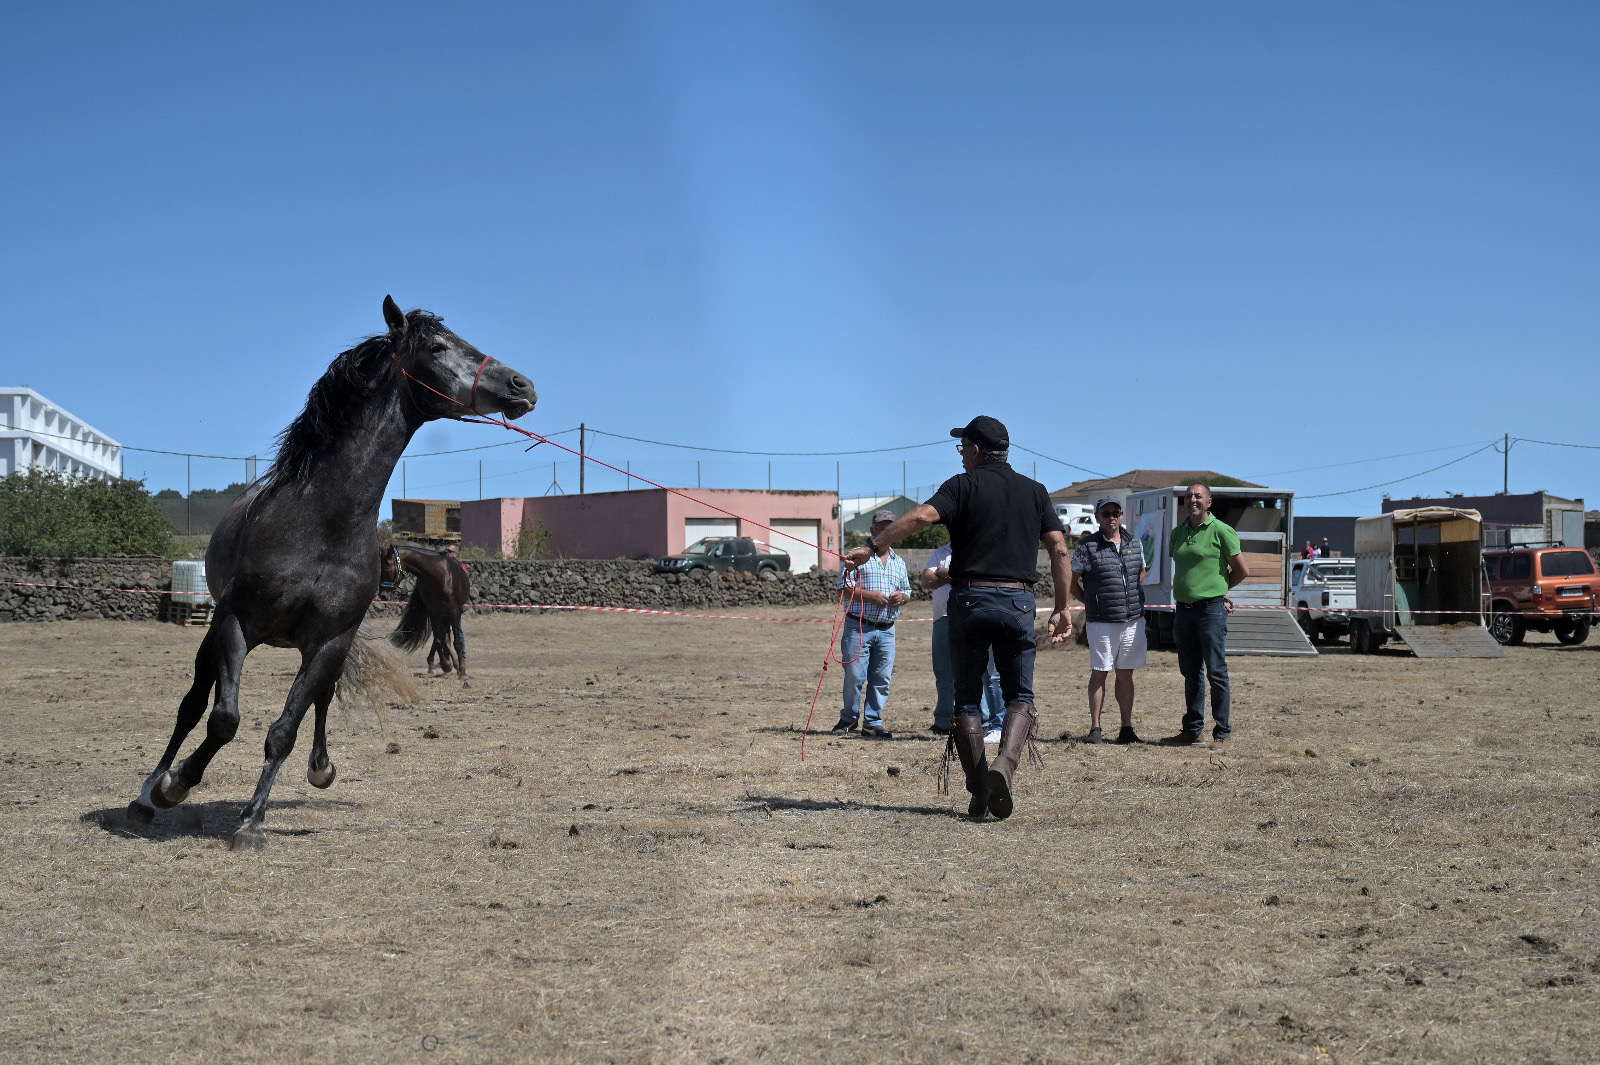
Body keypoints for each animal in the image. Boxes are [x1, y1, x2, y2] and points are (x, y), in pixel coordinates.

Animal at [131, 295, 537, 844]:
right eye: (437, 346)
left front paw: (253, 821)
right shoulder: (236, 624)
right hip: (216, 632)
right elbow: (222, 719)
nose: (522, 385)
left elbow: (284, 729)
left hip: (324, 648)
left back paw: (319, 767)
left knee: (319, 698)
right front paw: (178, 783)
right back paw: (147, 795)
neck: (320, 523)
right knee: (192, 703)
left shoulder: (330, 640)